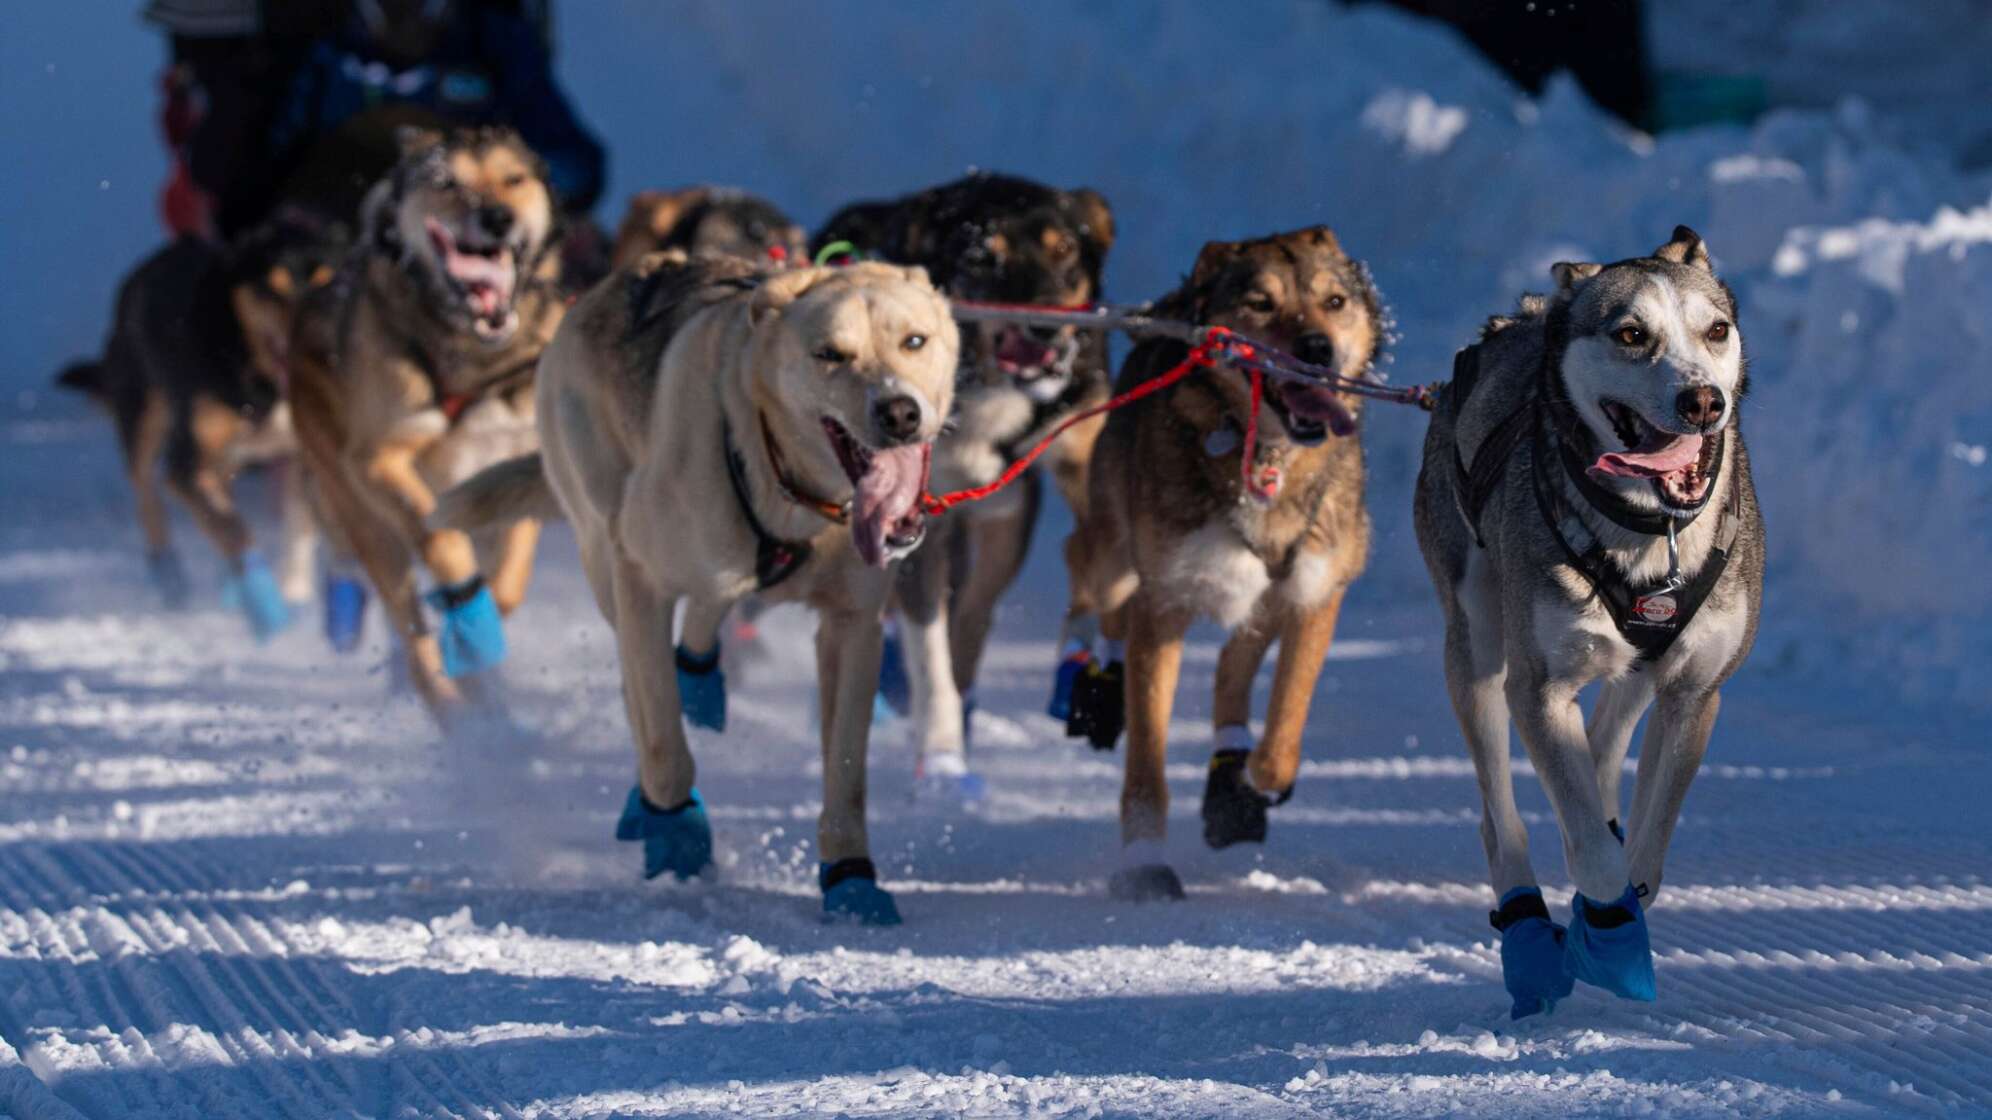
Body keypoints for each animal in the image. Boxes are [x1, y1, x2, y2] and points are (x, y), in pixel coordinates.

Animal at [280, 124, 565, 713]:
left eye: (513, 178)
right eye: (445, 182)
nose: (497, 218)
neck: (476, 358)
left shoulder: (524, 464)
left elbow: (510, 580)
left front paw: (487, 621)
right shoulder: (377, 461)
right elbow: (439, 538)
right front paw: (468, 613)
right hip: (365, 520)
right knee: (412, 636)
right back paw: (456, 709)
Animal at [434, 257, 956, 920]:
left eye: (914, 341)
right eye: (830, 354)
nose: (899, 412)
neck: (789, 490)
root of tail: (616, 280)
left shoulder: (852, 625)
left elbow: (846, 771)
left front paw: (849, 875)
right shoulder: (640, 579)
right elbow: (662, 738)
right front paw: (676, 832)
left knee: (712, 607)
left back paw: (700, 676)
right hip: (605, 555)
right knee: (642, 680)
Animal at [1075, 224, 1386, 896]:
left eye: (1334, 302)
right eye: (1260, 304)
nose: (1317, 348)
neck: (1265, 457)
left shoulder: (1315, 591)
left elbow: (1286, 720)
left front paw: (1251, 780)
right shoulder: (1163, 604)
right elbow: (1147, 758)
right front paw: (1144, 863)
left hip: (1263, 592)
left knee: (1229, 666)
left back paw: (1229, 777)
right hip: (1115, 555)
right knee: (1099, 598)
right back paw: (1098, 691)